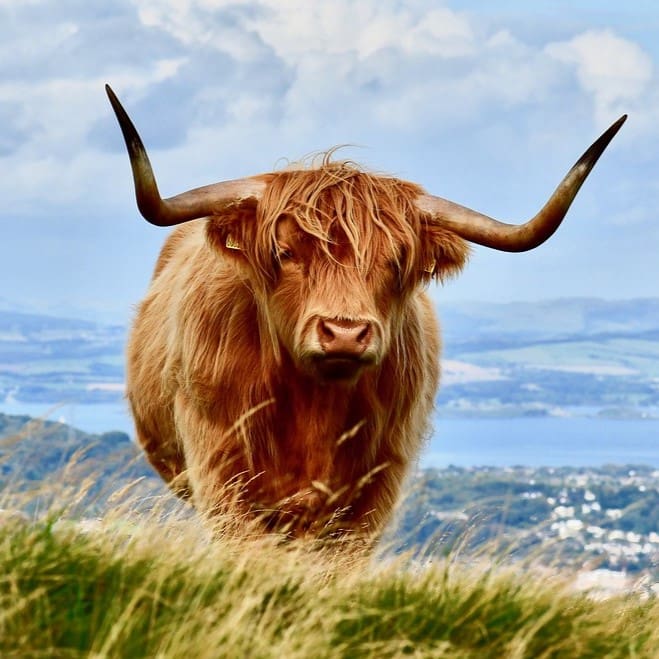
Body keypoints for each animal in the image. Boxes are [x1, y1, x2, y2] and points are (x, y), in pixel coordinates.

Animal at [106, 85, 625, 542]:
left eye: (397, 260)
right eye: (285, 251)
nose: (344, 333)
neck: (312, 405)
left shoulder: (373, 491)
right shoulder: (221, 474)